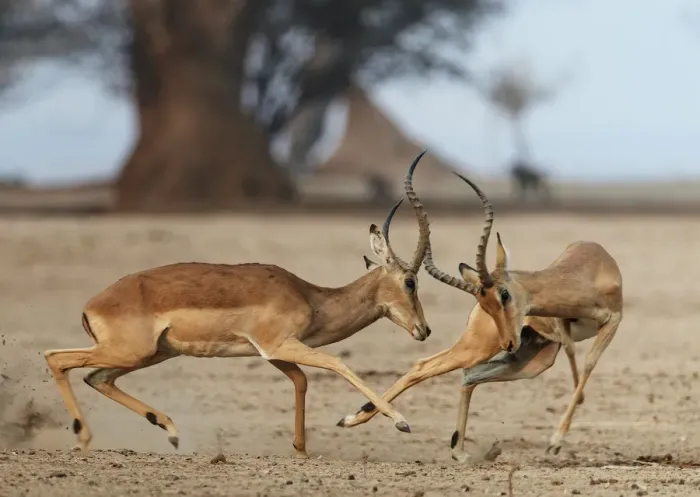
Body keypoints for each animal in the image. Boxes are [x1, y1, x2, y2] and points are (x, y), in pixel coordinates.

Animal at [43, 152, 433, 458]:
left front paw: (301, 450)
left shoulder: (272, 353)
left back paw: (171, 431)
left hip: (152, 354)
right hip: (130, 352)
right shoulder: (279, 344)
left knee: (96, 377)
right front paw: (400, 422)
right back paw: (84, 439)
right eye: (410, 281)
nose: (424, 330)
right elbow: (336, 363)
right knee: (56, 358)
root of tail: (93, 304)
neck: (310, 297)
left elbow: (301, 381)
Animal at [338, 169, 622, 456]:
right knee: (430, 366)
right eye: (488, 303)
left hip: (531, 359)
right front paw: (556, 440)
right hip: (483, 347)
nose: (510, 342)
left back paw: (458, 450)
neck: (588, 271)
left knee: (469, 375)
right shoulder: (565, 324)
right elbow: (579, 357)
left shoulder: (611, 321)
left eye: (504, 294)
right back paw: (367, 421)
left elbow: (585, 362)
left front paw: (562, 430)